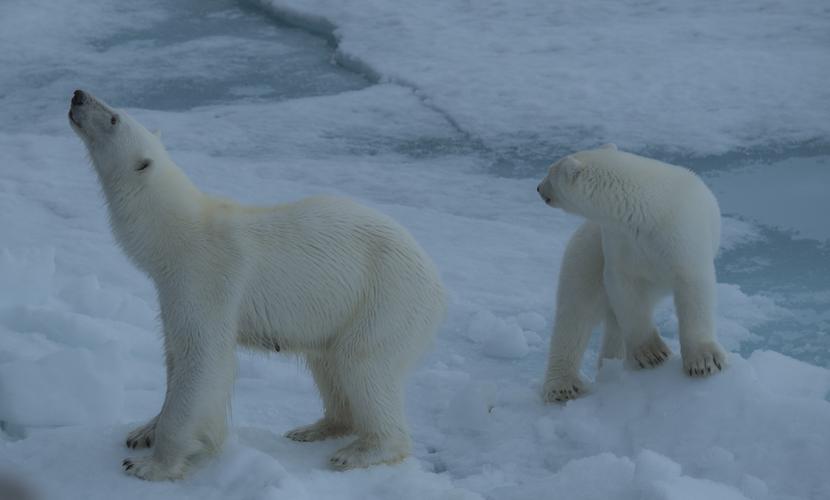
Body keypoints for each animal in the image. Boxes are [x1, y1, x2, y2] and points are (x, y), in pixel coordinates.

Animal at [69, 90, 448, 480]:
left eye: (114, 118)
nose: (78, 95)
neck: (176, 234)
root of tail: (436, 282)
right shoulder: (171, 291)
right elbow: (173, 354)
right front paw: (143, 431)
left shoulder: (206, 280)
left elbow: (203, 359)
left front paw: (151, 464)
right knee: (327, 363)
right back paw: (314, 428)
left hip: (386, 299)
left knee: (362, 363)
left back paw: (359, 452)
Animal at [540, 144, 728, 402]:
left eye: (550, 172)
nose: (539, 188)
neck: (647, 210)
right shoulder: (619, 241)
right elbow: (625, 289)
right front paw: (652, 353)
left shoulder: (681, 234)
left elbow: (693, 285)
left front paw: (704, 361)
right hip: (586, 252)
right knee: (576, 312)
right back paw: (562, 386)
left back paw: (609, 362)